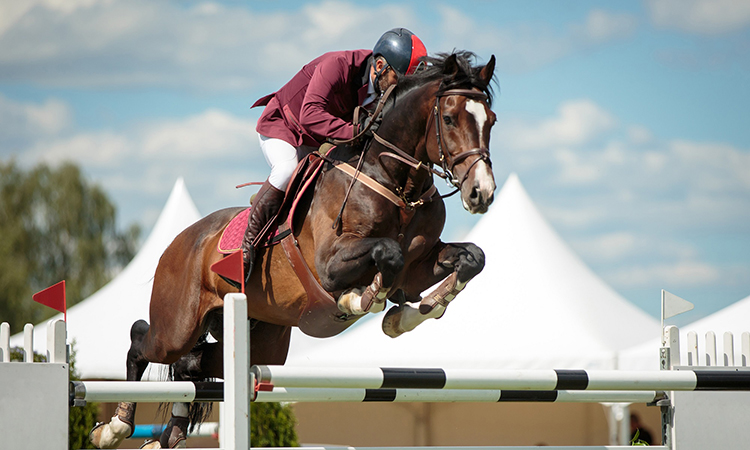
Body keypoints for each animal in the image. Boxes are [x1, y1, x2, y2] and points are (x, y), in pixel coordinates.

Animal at [89, 51, 500, 448]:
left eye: (491, 121)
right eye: (448, 118)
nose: (481, 193)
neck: (395, 182)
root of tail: (179, 242)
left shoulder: (417, 270)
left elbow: (471, 259)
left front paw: (409, 315)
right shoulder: (331, 264)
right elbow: (387, 254)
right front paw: (363, 300)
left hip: (259, 341)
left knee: (191, 365)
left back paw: (168, 434)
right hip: (177, 326)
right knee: (142, 340)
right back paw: (114, 428)